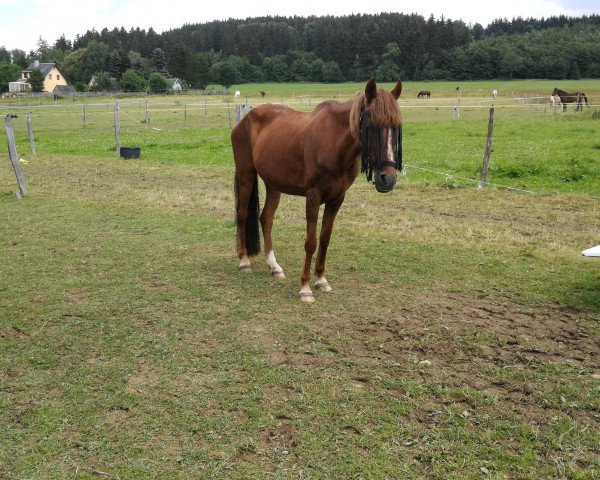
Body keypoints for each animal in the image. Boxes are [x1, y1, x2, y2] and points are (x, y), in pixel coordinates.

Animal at [232, 79, 406, 304]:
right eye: (372, 126)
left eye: (395, 127)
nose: (388, 179)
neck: (335, 144)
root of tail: (245, 119)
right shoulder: (313, 197)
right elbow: (311, 242)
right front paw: (305, 287)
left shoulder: (336, 199)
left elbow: (324, 240)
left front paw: (321, 280)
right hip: (246, 175)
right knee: (243, 215)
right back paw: (244, 261)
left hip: (273, 185)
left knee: (266, 218)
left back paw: (274, 266)